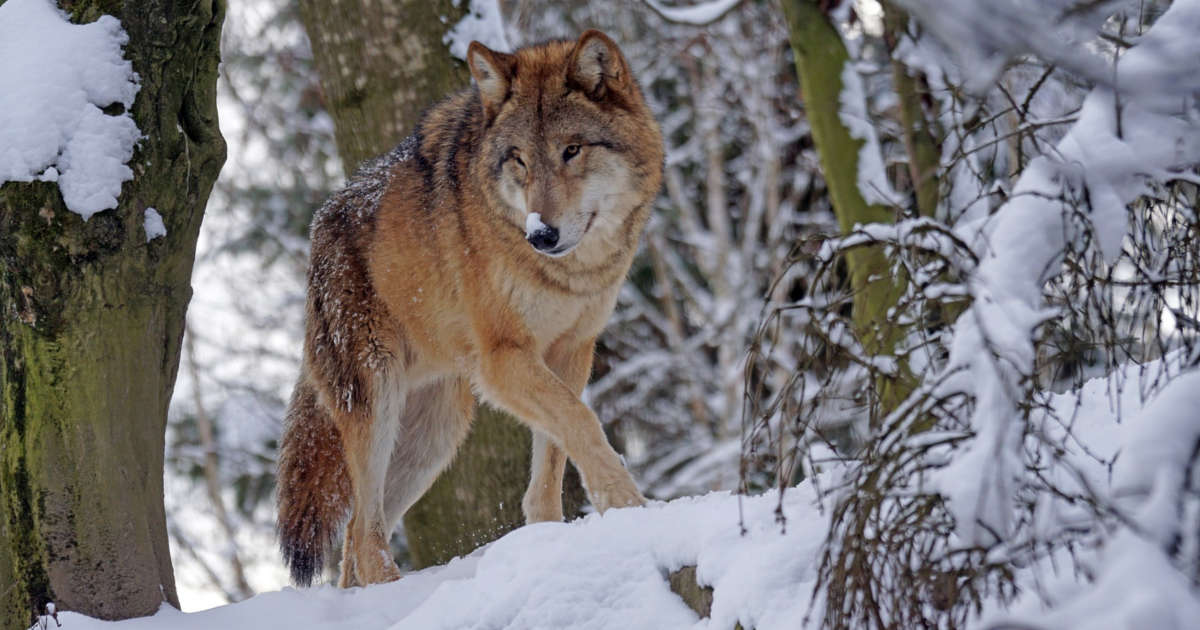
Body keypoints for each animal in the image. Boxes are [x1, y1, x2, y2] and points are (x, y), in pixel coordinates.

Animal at [275, 30, 664, 588]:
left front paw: (551, 539)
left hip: (435, 435)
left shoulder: (572, 351)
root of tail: (318, 228)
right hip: (377, 403)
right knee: (364, 535)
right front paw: (629, 507)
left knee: (354, 537)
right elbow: (583, 423)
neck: (569, 274)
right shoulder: (503, 359)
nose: (541, 235)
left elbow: (555, 454)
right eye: (519, 159)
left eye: (572, 150)